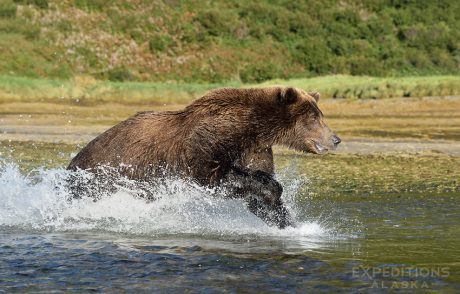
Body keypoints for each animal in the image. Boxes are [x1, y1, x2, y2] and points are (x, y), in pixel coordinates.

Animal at [69, 86, 342, 229]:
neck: (250, 128)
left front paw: (289, 222)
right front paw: (273, 190)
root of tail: (72, 163)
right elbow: (217, 175)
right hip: (104, 173)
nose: (336, 139)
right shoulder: (206, 143)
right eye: (314, 117)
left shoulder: (255, 150)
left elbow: (256, 195)